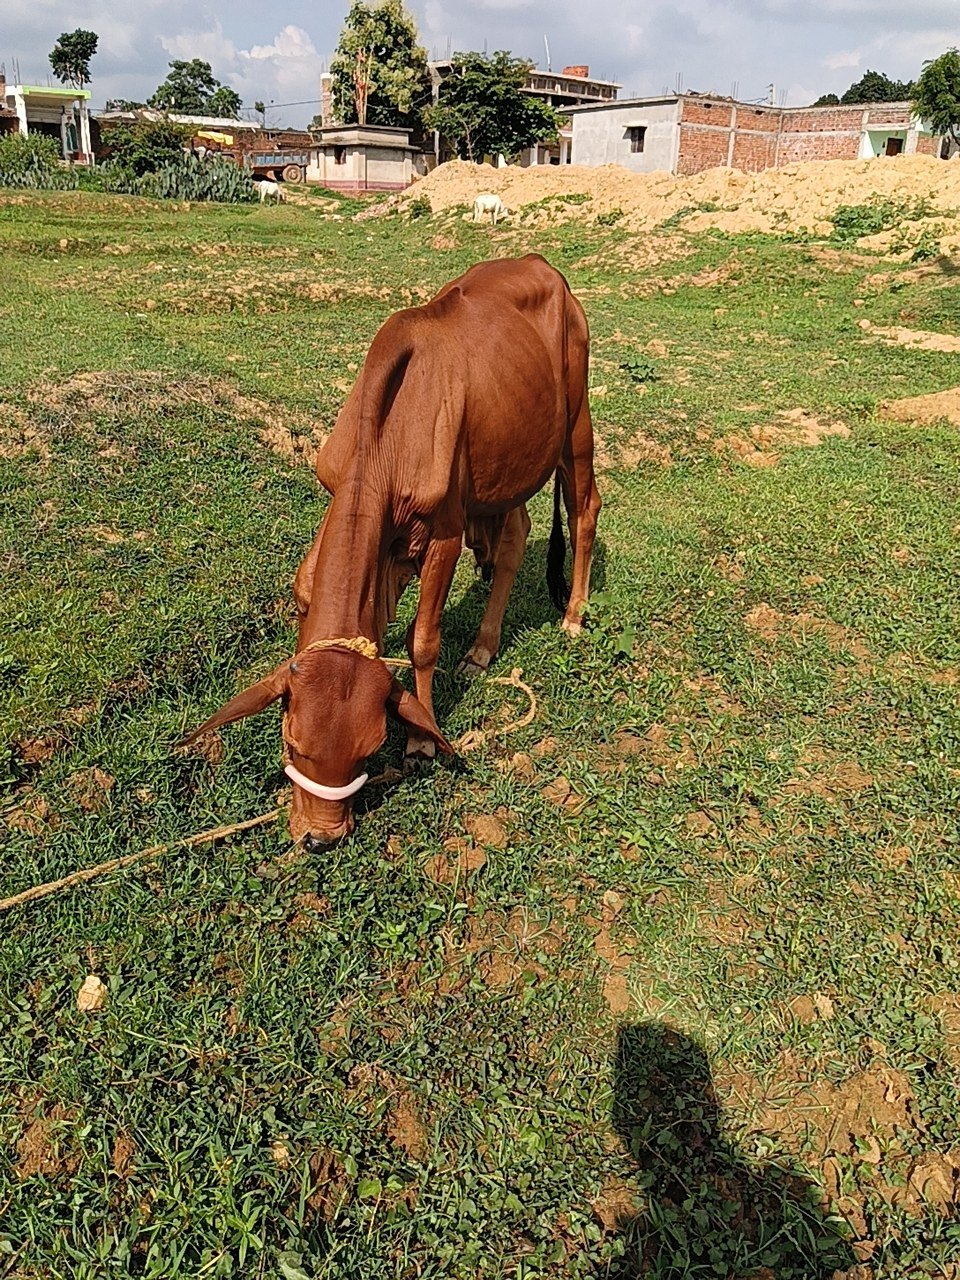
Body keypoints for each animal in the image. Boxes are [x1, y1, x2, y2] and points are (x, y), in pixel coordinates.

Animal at [180, 254, 600, 849]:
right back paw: (482, 648)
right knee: (515, 535)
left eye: (372, 748)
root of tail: (542, 265)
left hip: (576, 422)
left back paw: (573, 615)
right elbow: (307, 588)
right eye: (292, 743)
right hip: (509, 465)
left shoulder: (445, 532)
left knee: (586, 509)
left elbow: (422, 640)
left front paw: (422, 740)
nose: (320, 838)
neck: (384, 447)